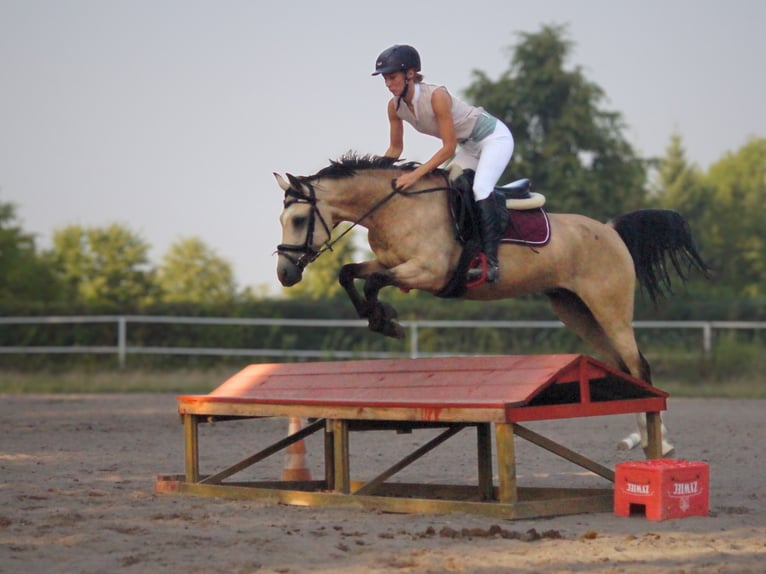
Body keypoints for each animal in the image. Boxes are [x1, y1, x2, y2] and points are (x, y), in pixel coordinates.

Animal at [274, 153, 710, 455]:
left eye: (298, 220)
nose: (284, 274)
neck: (396, 207)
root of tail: (611, 230)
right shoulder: (394, 263)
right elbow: (350, 273)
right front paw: (379, 318)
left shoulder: (427, 272)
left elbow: (375, 283)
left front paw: (386, 320)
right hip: (576, 310)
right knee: (622, 365)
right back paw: (639, 439)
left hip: (609, 306)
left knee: (638, 364)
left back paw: (660, 444)